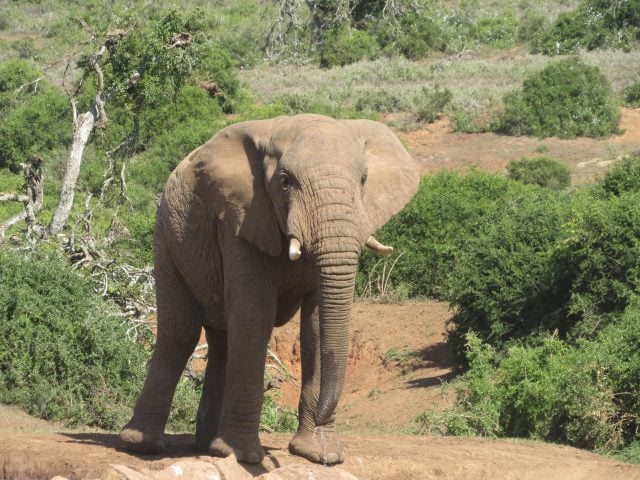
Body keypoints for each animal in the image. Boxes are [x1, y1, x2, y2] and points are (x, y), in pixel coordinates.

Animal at [119, 114, 419, 465]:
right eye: (285, 182)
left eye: (363, 180)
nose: (323, 415)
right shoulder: (243, 215)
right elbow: (254, 316)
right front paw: (242, 456)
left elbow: (317, 326)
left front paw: (319, 454)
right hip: (167, 237)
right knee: (180, 333)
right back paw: (143, 445)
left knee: (221, 339)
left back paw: (206, 444)